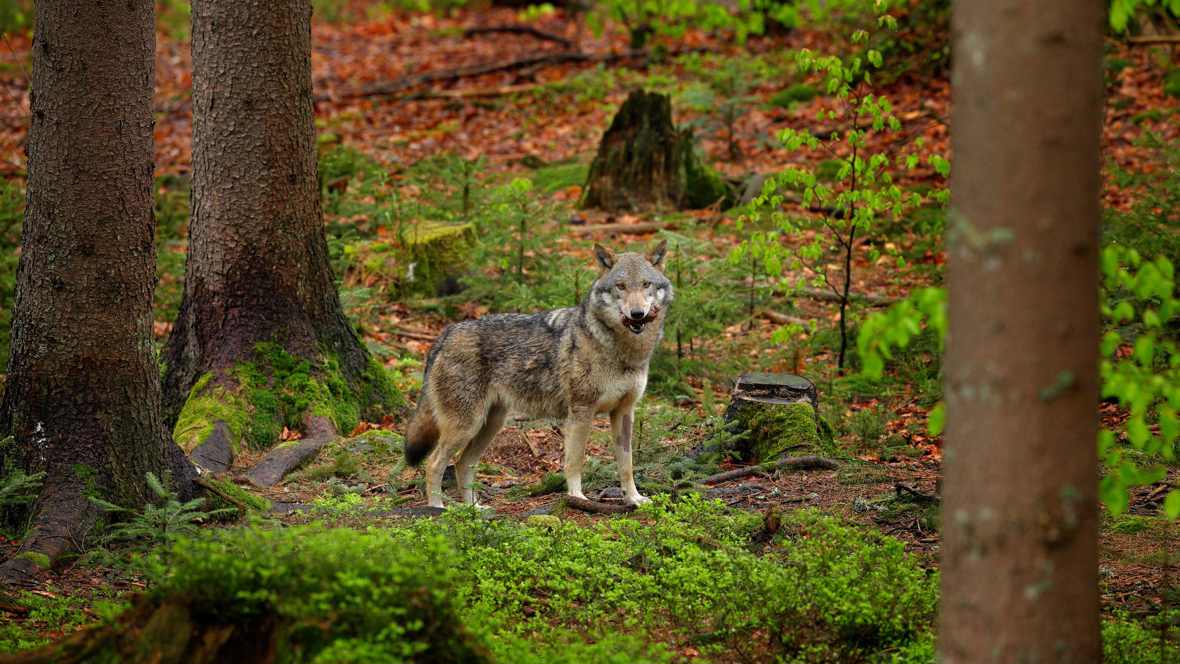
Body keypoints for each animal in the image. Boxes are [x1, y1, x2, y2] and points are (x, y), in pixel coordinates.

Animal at [403, 241, 670, 507]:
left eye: (646, 284)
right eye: (620, 286)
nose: (637, 314)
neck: (622, 350)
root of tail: (445, 334)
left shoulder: (624, 412)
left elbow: (627, 465)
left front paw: (634, 498)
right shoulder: (581, 412)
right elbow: (574, 462)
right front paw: (577, 498)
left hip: (490, 425)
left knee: (462, 464)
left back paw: (473, 510)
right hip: (466, 426)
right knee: (434, 464)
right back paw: (438, 509)